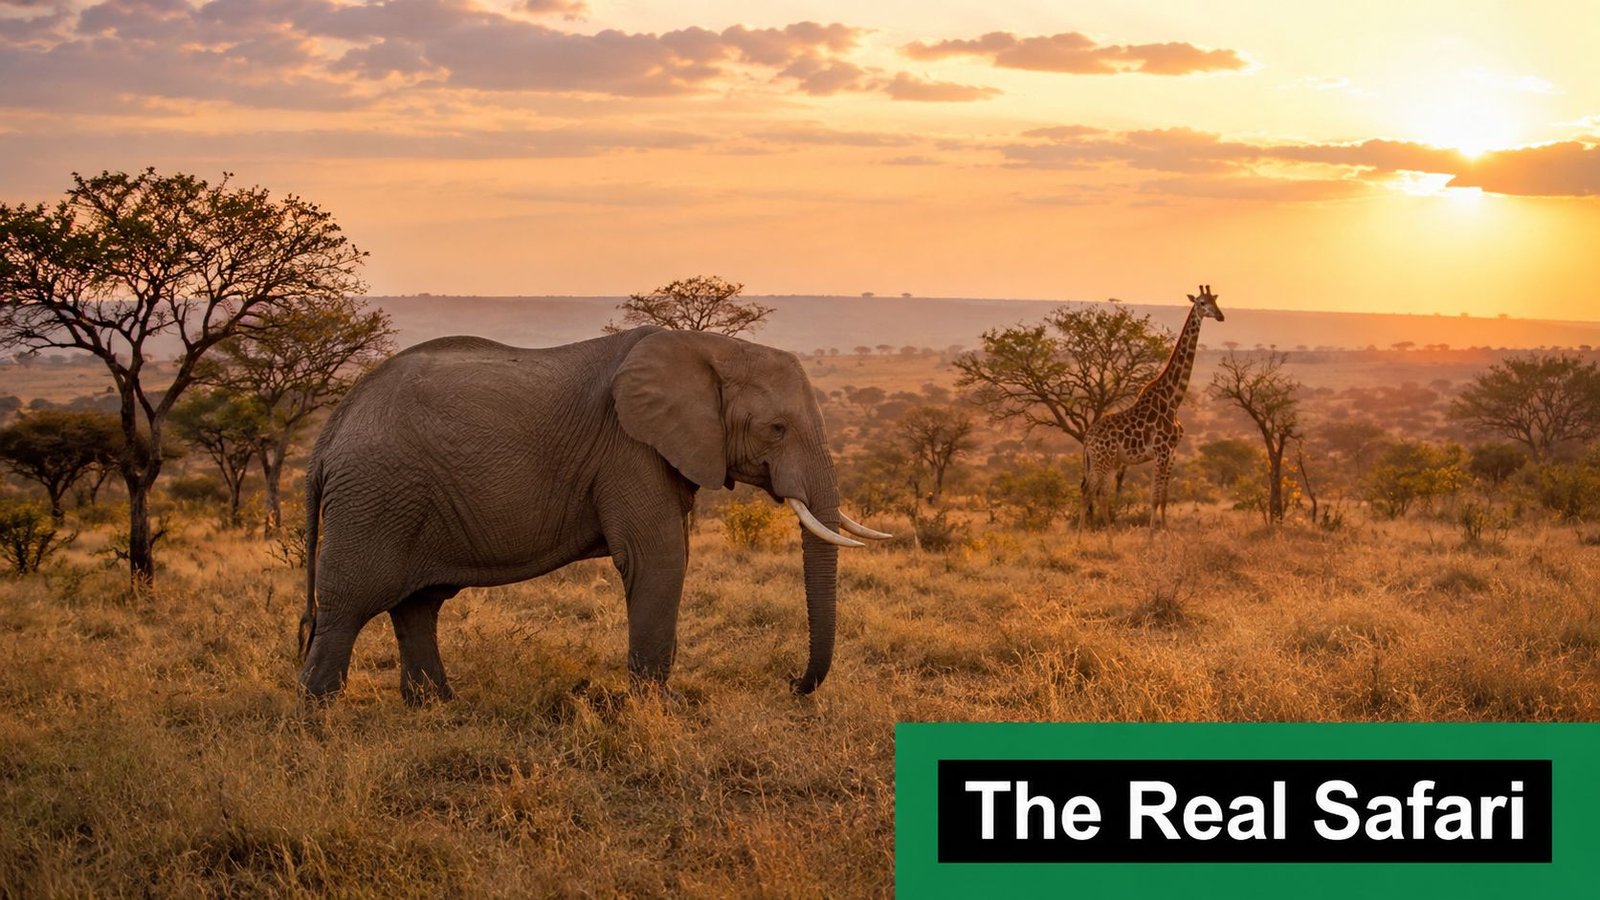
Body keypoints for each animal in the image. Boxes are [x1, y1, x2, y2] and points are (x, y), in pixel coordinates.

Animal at [296, 325, 889, 705]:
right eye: (777, 429)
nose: (792, 683)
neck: (712, 348)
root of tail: (328, 436)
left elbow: (671, 554)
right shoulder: (629, 449)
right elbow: (659, 559)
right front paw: (662, 706)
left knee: (416, 606)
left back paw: (439, 707)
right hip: (375, 496)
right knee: (350, 604)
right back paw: (320, 718)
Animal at [1080, 284, 1224, 528]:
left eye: (1215, 300)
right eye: (1202, 302)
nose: (1221, 316)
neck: (1173, 400)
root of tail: (1086, 439)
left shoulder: (1172, 452)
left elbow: (1164, 498)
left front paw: (1165, 532)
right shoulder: (1161, 451)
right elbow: (1154, 498)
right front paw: (1152, 536)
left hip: (1109, 462)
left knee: (1101, 493)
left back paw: (1108, 536)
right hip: (1102, 460)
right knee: (1088, 492)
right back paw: (1083, 537)